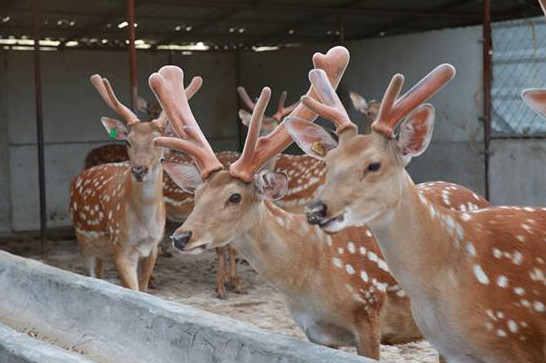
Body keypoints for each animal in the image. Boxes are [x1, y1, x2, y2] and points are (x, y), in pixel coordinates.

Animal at [68, 74, 202, 292]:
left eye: (158, 141)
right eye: (127, 141)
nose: (139, 170)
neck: (143, 227)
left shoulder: (152, 247)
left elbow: (143, 289)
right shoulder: (120, 246)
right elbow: (132, 290)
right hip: (84, 240)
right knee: (91, 274)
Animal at [148, 52, 488, 362]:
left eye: (234, 197)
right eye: (197, 194)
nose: (181, 236)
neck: (308, 274)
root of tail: (479, 196)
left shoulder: (368, 312)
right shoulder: (317, 333)